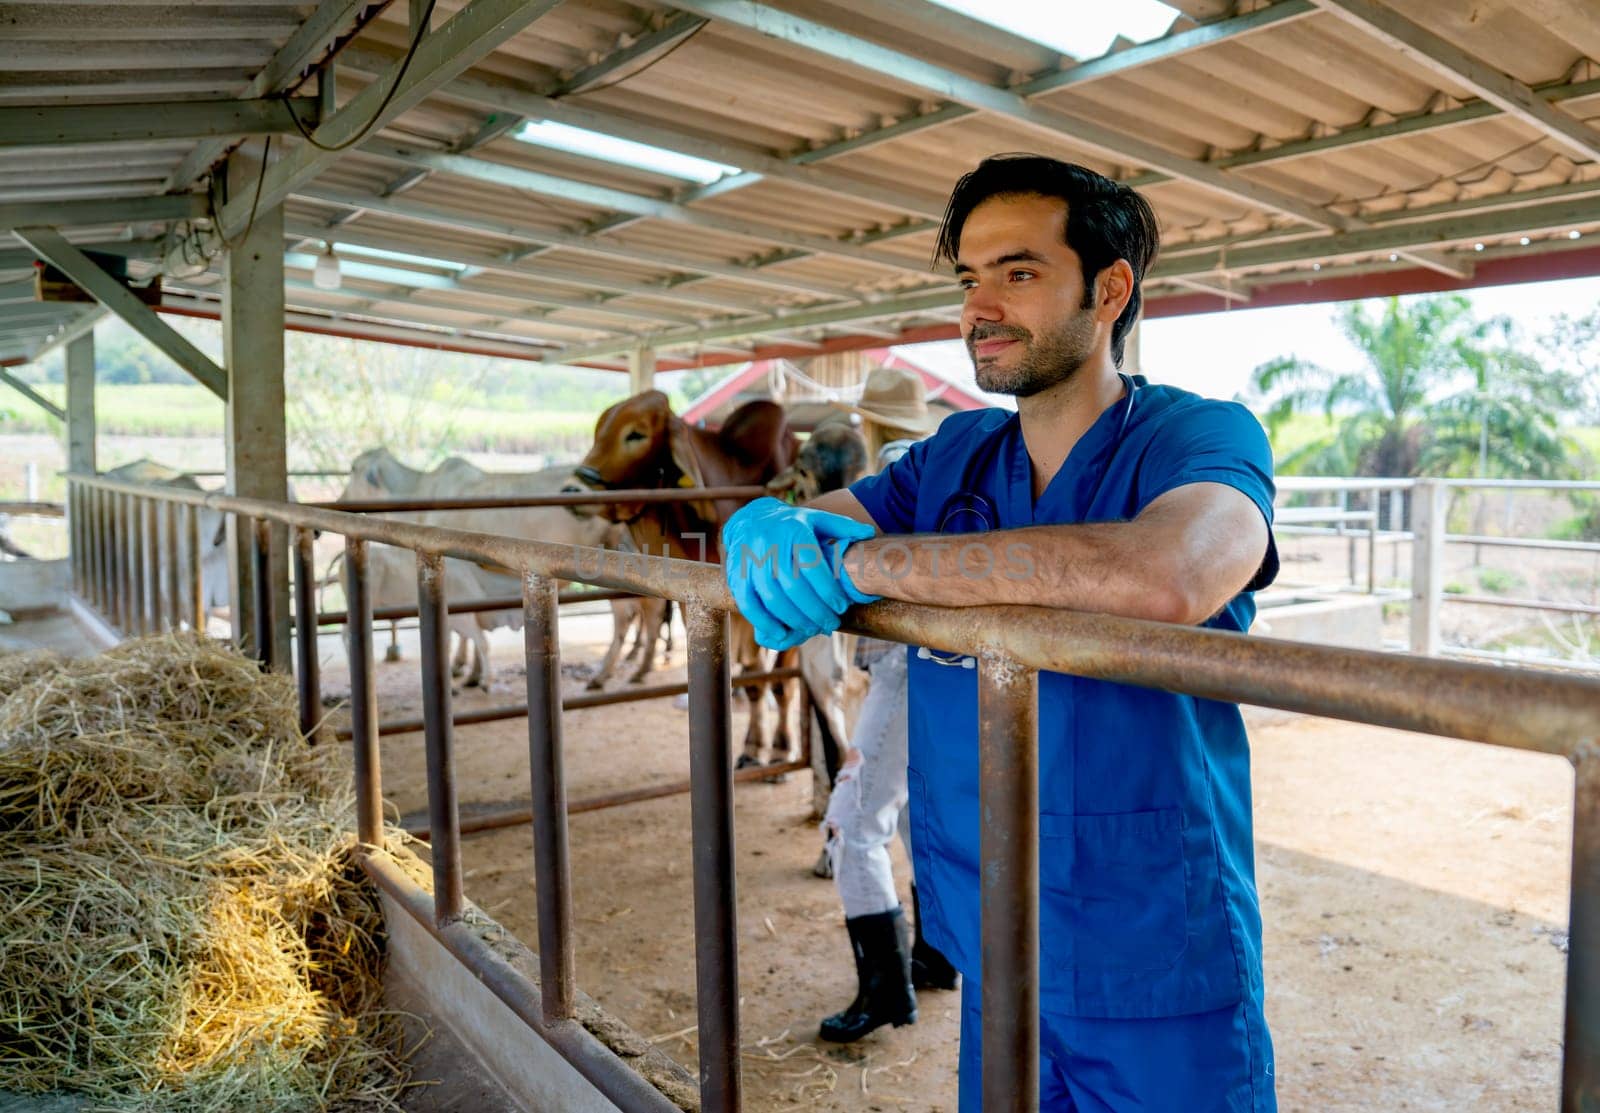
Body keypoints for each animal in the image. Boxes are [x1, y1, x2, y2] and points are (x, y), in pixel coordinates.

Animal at [572, 388, 800, 764]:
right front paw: (754, 747)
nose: (572, 489)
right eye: (597, 430)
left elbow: (773, 681)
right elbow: (751, 681)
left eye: (636, 434)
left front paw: (772, 748)